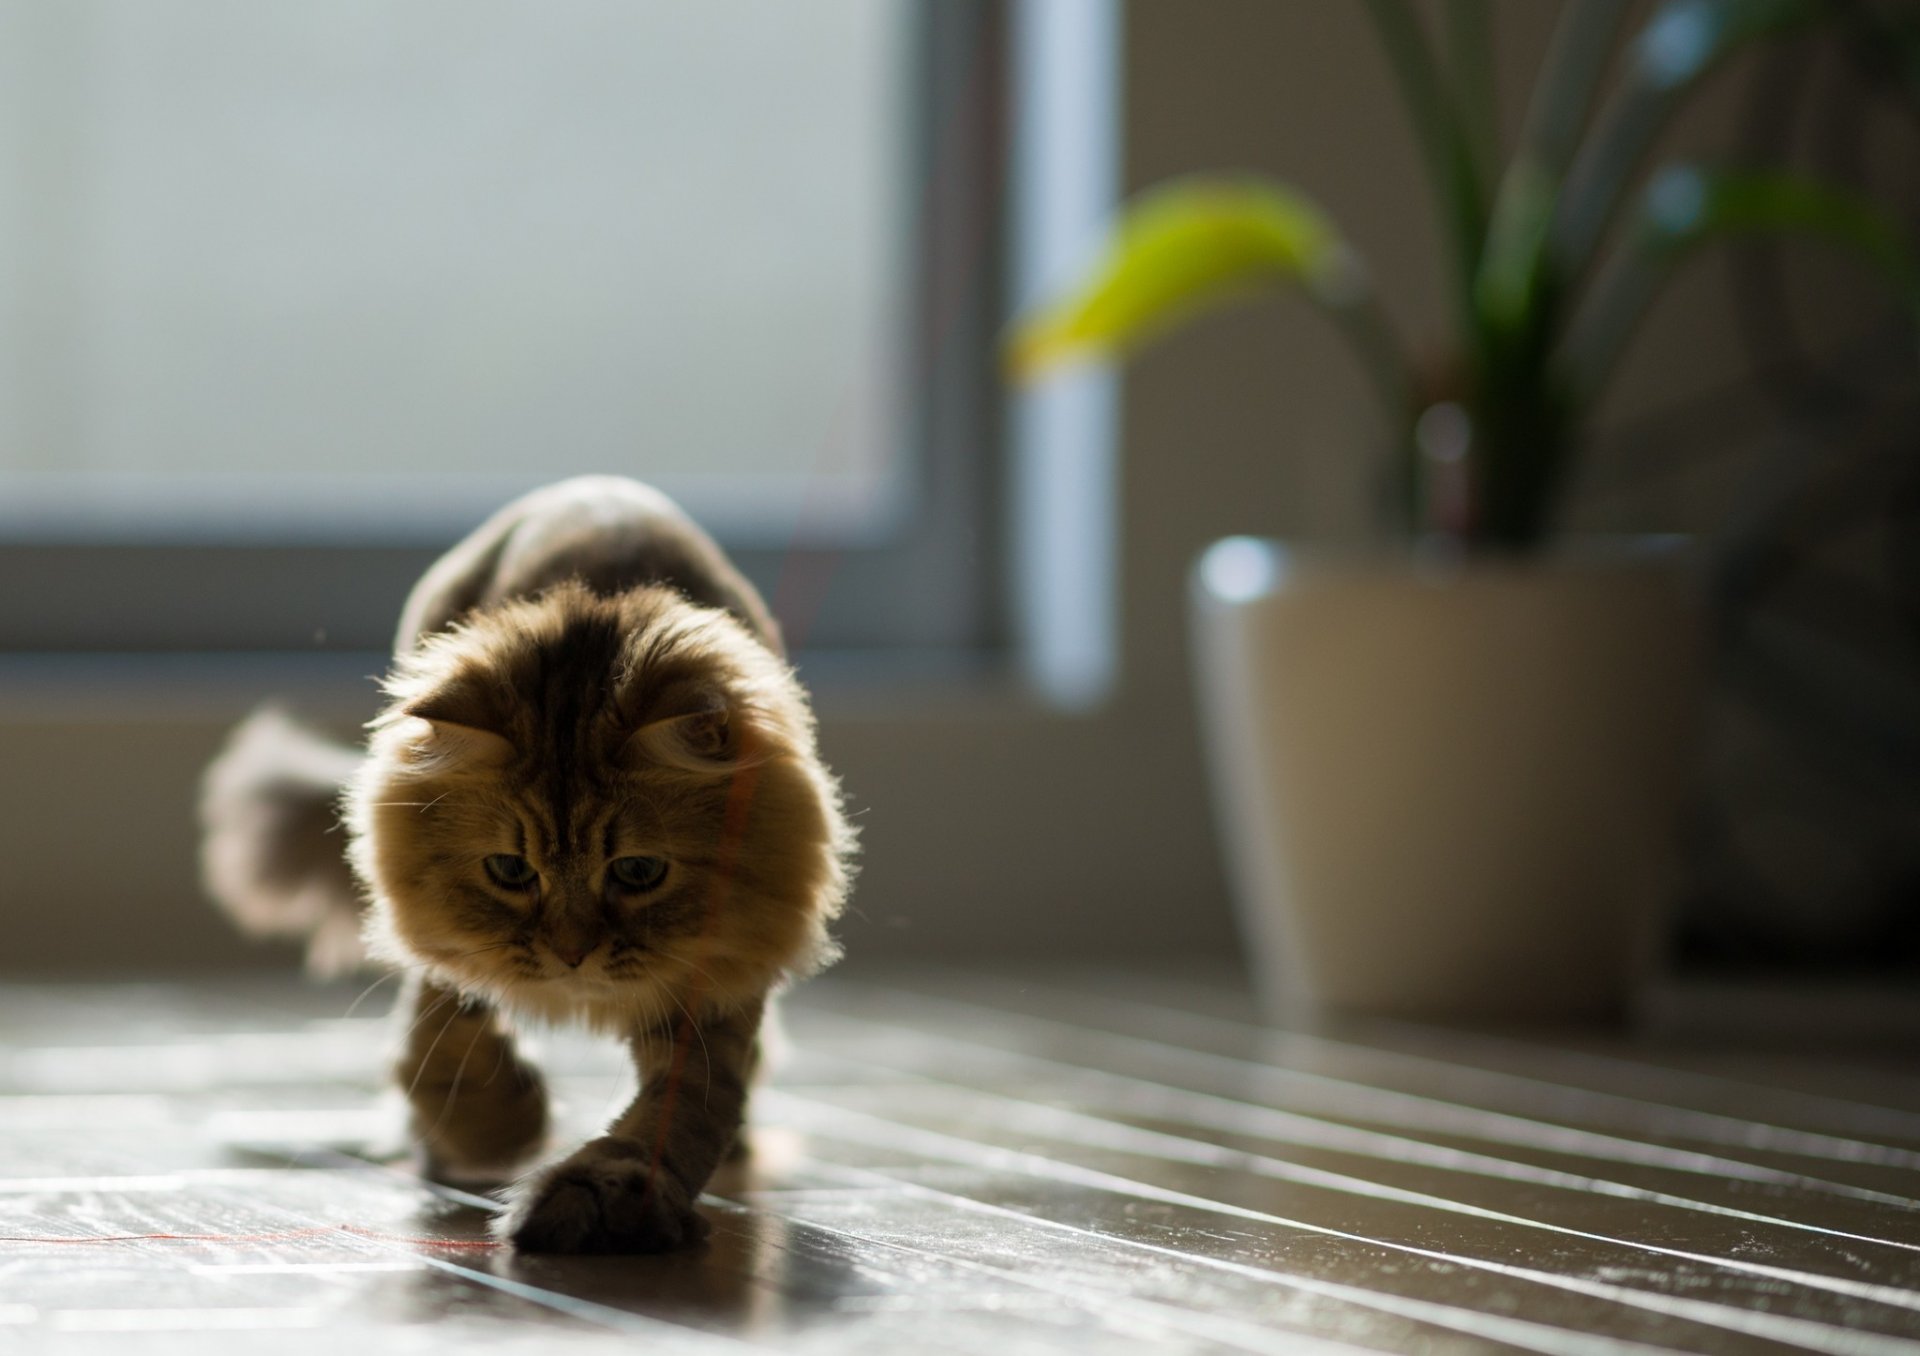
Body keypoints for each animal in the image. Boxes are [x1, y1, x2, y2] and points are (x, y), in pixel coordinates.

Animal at [198, 472, 852, 1244]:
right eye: (511, 872)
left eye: (638, 872)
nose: (572, 956)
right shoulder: (449, 947)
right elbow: (443, 1038)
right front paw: (497, 1129)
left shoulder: (716, 982)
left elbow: (681, 1110)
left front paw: (602, 1199)